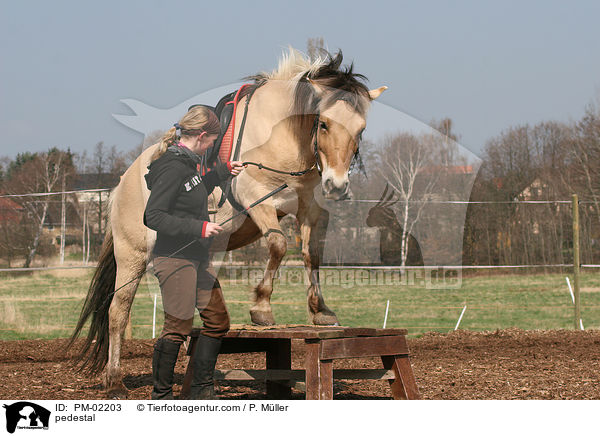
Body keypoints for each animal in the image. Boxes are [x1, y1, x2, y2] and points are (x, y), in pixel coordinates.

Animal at [69, 48, 390, 398]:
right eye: (324, 124)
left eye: (361, 130)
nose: (337, 186)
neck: (283, 136)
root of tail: (121, 184)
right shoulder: (256, 197)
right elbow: (278, 246)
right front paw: (261, 308)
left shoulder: (310, 207)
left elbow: (311, 255)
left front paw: (320, 311)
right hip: (132, 255)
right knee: (118, 311)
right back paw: (114, 380)